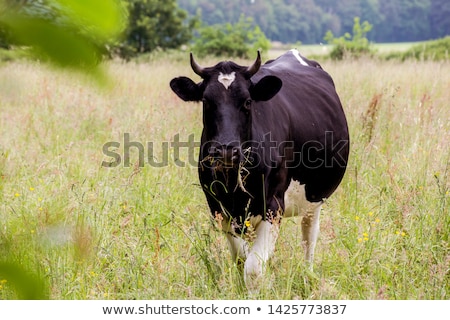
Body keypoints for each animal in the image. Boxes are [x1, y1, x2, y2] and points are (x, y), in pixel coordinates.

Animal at [171, 48, 350, 294]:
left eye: (247, 102)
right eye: (206, 101)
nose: (226, 150)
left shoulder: (273, 206)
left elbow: (253, 268)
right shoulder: (218, 207)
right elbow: (242, 258)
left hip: (315, 195)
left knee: (309, 236)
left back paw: (307, 277)